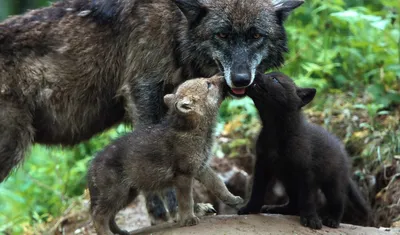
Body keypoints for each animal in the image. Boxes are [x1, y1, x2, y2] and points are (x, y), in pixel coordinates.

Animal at [0, 0, 304, 224]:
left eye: (256, 35)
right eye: (222, 35)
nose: (241, 79)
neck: (176, 26)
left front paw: (163, 212)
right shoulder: (143, 91)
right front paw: (176, 211)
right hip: (12, 148)